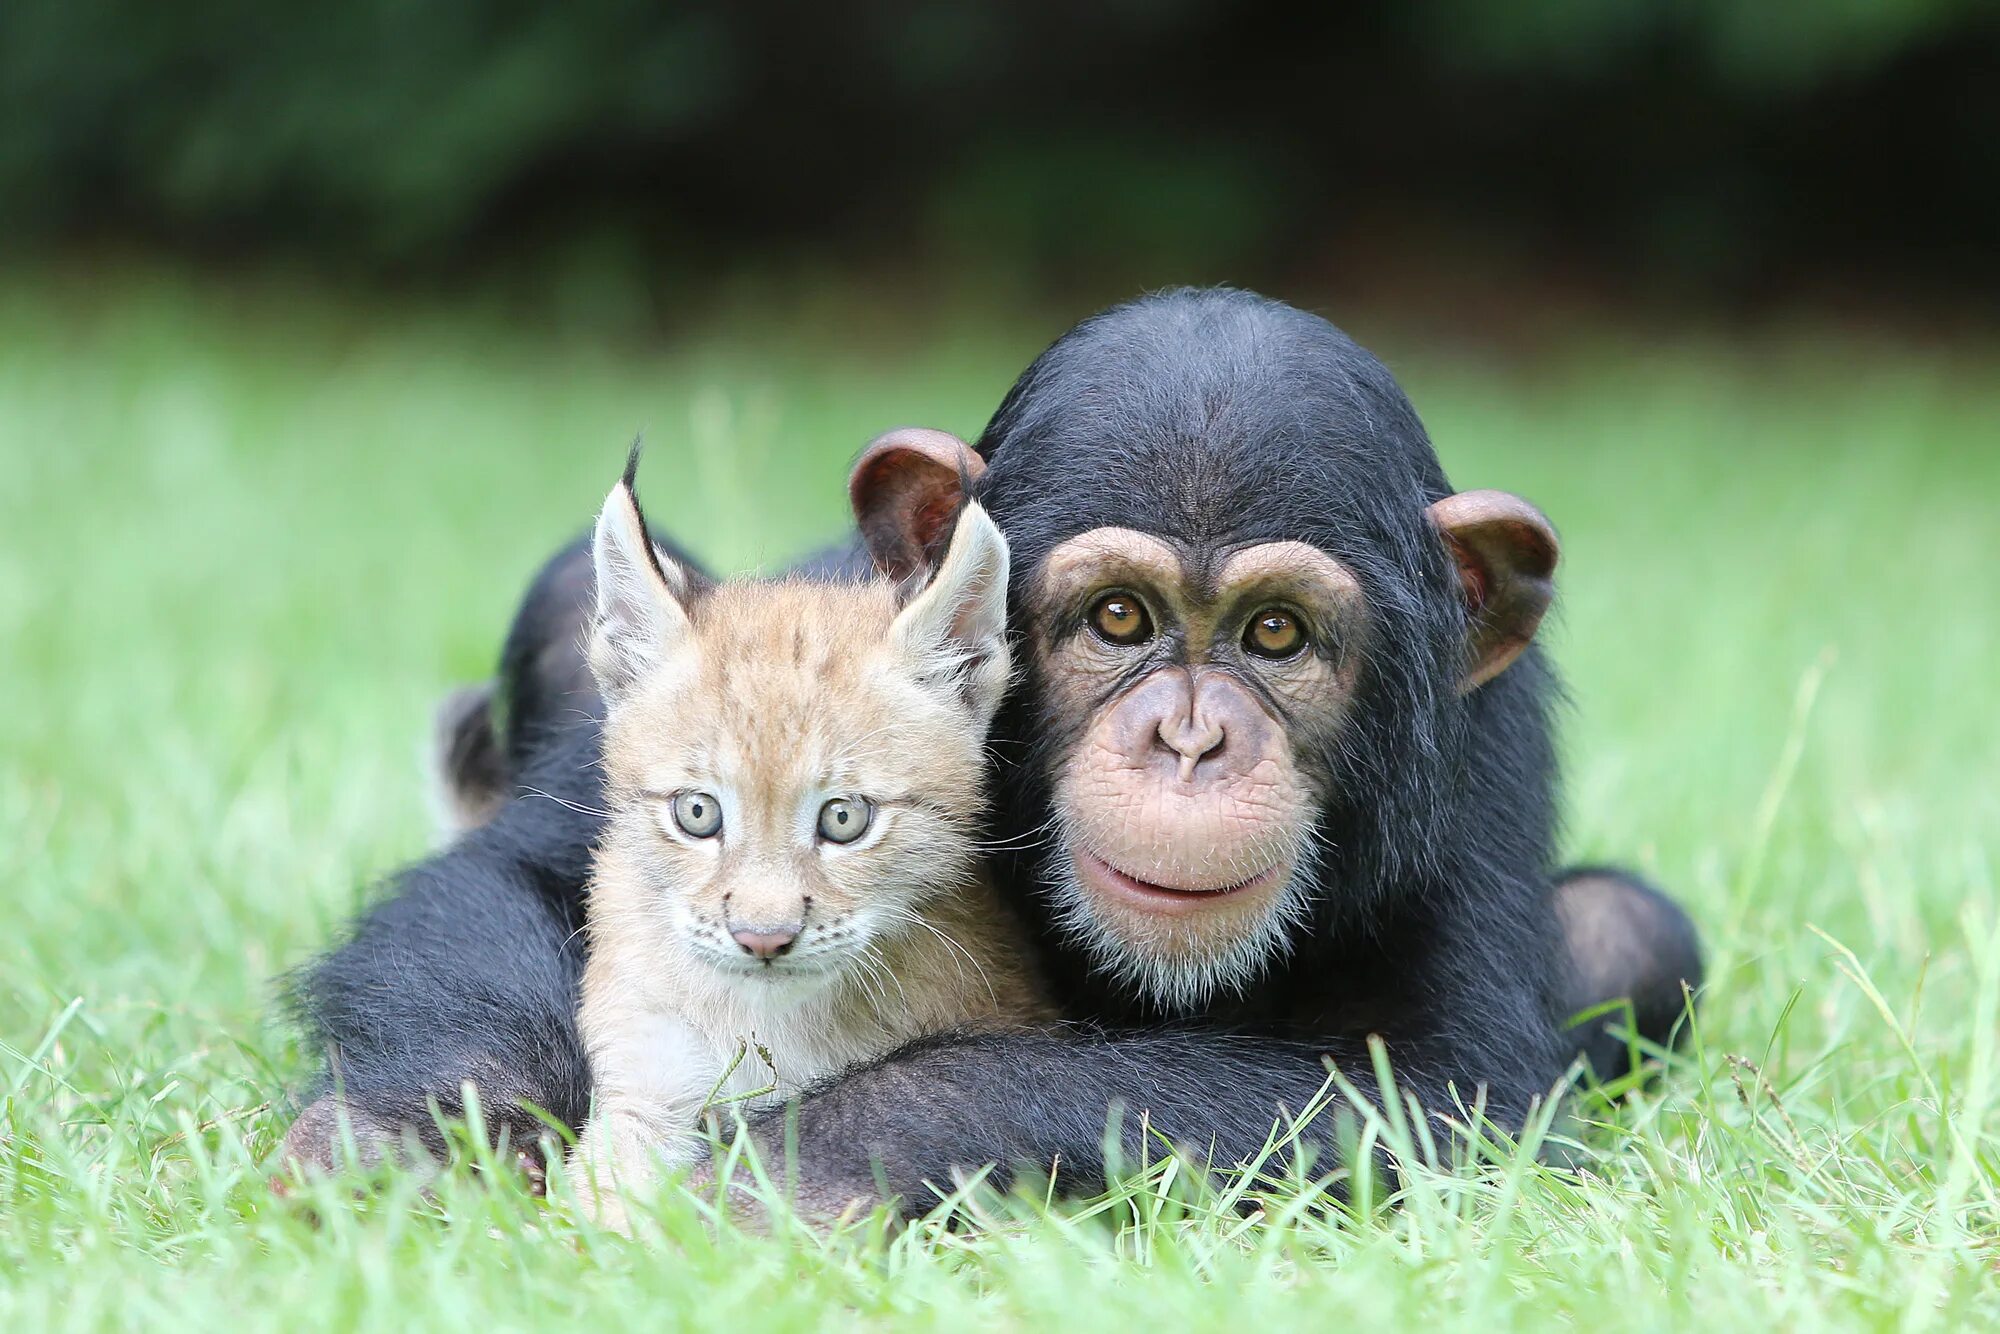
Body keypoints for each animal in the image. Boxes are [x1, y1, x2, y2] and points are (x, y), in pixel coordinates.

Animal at [286, 290, 1704, 1208]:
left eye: (1275, 633)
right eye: (1120, 617)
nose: (1189, 738)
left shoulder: (1472, 781)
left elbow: (1439, 1099)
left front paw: (799, 1161)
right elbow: (508, 881)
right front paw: (411, 1133)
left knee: (1631, 928)